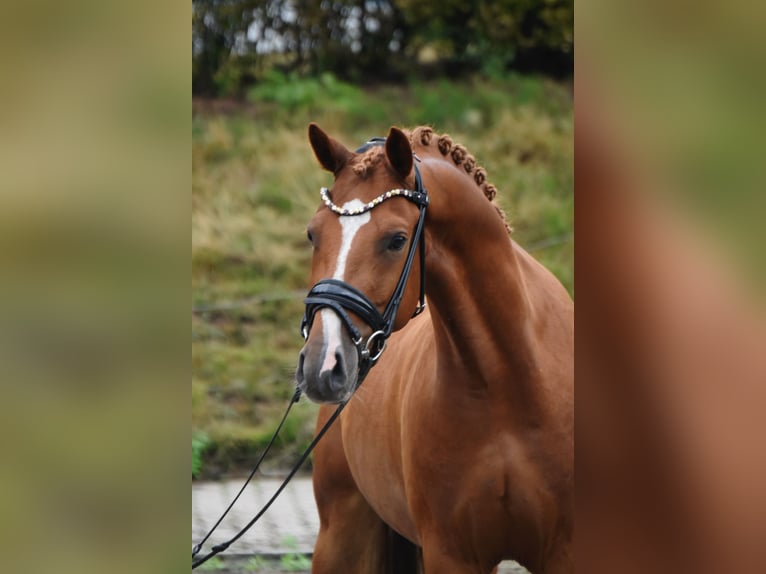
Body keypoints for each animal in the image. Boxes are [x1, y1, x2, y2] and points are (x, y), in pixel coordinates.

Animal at [294, 123, 574, 574]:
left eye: (396, 240)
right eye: (312, 234)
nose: (323, 364)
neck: (506, 379)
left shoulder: (565, 551)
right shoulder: (451, 553)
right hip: (342, 538)